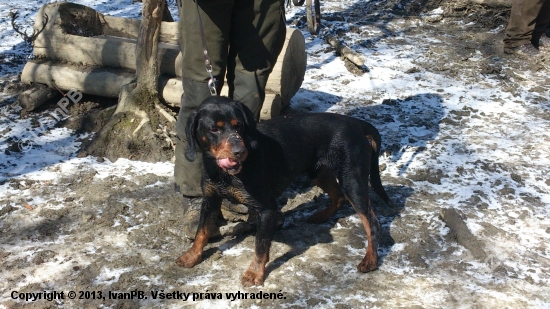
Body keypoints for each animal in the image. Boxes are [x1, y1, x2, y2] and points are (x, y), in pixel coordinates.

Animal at [177, 96, 392, 286]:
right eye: (214, 129)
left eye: (239, 125)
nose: (240, 152)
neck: (226, 173)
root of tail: (358, 125)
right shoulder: (210, 199)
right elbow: (202, 231)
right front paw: (191, 257)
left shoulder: (267, 209)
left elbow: (260, 245)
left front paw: (254, 274)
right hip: (317, 172)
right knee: (338, 196)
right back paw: (320, 216)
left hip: (351, 180)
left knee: (372, 222)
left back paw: (370, 260)